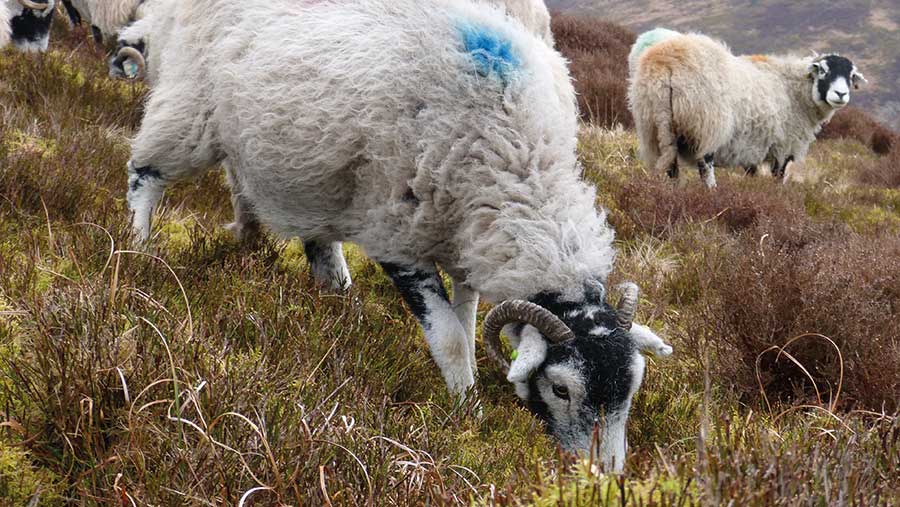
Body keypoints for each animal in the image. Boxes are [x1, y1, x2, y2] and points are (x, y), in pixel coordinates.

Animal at [125, 0, 673, 471]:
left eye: (631, 387)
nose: (603, 475)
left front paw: (467, 387)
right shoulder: (397, 238)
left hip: (299, 164)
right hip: (190, 106)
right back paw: (139, 250)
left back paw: (307, 276)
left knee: (289, 218)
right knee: (144, 174)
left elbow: (467, 322)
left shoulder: (465, 238)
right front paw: (467, 413)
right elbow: (449, 338)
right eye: (561, 390)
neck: (515, 155)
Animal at [628, 31, 867, 187]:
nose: (841, 94)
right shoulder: (783, 146)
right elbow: (778, 177)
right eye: (823, 71)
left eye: (851, 76)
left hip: (654, 123)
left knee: (671, 166)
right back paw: (711, 192)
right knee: (705, 164)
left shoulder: (752, 145)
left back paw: (674, 191)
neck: (794, 89)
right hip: (706, 123)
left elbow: (751, 173)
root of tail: (665, 62)